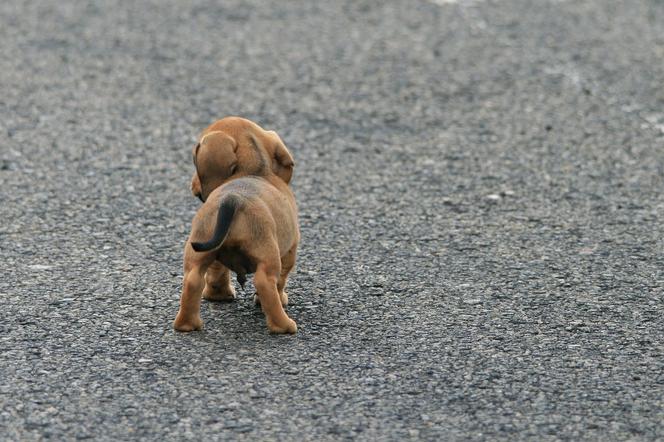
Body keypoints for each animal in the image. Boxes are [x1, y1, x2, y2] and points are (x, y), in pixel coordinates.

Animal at [176, 116, 300, 332]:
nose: (192, 185)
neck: (253, 171)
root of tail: (233, 199)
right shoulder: (290, 249)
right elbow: (282, 280)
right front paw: (281, 298)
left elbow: (217, 272)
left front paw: (219, 295)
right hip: (268, 254)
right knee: (265, 283)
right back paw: (284, 326)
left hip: (198, 249)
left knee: (192, 280)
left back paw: (187, 324)